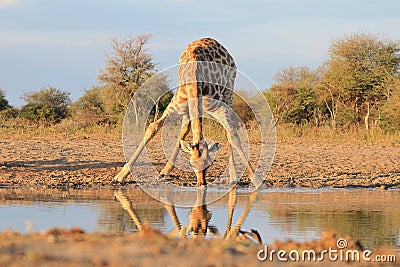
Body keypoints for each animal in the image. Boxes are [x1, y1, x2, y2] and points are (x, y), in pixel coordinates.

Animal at [114, 37, 262, 188]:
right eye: (191, 164)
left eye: (210, 164)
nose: (202, 184)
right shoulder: (177, 103)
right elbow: (153, 127)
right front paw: (121, 175)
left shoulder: (218, 108)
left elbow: (233, 136)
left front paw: (256, 180)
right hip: (189, 108)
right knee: (184, 129)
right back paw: (165, 171)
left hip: (228, 95)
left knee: (224, 131)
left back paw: (233, 176)